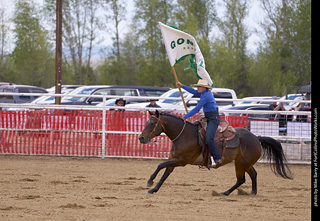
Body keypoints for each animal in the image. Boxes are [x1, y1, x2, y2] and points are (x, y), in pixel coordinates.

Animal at [138, 110, 292, 195]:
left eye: (152, 123)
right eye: (146, 122)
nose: (141, 138)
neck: (185, 135)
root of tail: (256, 138)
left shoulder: (181, 161)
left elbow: (160, 165)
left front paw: (149, 182)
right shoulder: (174, 160)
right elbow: (165, 174)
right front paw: (153, 189)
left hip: (240, 164)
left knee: (241, 179)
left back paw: (225, 193)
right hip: (246, 163)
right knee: (253, 174)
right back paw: (252, 192)